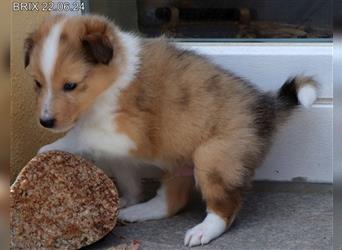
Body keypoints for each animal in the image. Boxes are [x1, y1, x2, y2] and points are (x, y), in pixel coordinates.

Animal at [24, 14, 318, 247]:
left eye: (70, 85)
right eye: (37, 83)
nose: (46, 122)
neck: (112, 80)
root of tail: (265, 106)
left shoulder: (128, 134)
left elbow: (82, 134)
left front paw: (52, 147)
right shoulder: (119, 150)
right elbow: (126, 175)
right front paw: (126, 201)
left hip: (213, 157)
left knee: (224, 209)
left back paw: (202, 231)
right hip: (180, 160)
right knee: (171, 201)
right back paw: (138, 212)